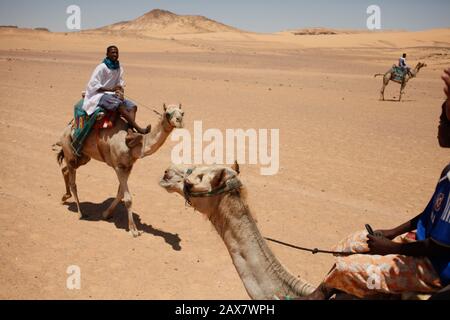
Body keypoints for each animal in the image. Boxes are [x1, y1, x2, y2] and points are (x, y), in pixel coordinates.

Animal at [55, 104, 184, 236]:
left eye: (182, 112)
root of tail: (66, 129)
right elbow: (128, 199)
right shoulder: (119, 167)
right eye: (168, 113)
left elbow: (120, 193)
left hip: (84, 157)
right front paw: (133, 230)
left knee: (65, 169)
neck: (133, 146)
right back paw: (80, 213)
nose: (179, 121)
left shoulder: (128, 167)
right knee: (73, 182)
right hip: (70, 152)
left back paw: (65, 197)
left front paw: (106, 214)